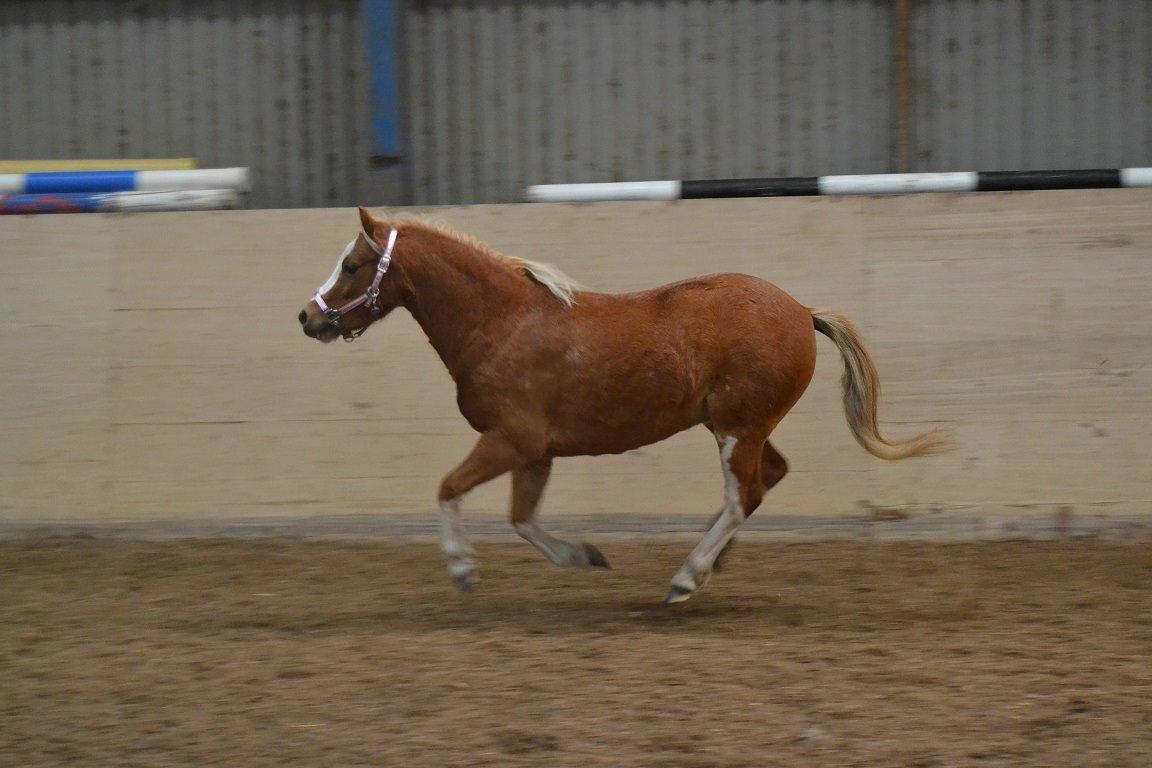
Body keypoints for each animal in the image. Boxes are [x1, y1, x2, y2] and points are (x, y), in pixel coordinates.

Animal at [297, 207, 944, 603]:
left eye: (352, 265)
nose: (308, 317)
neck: (502, 324)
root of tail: (803, 311)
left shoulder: (511, 440)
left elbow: (449, 489)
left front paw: (462, 568)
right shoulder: (535, 452)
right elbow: (522, 519)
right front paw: (585, 556)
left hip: (738, 427)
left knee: (747, 494)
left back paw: (687, 577)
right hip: (740, 425)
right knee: (765, 480)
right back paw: (711, 561)